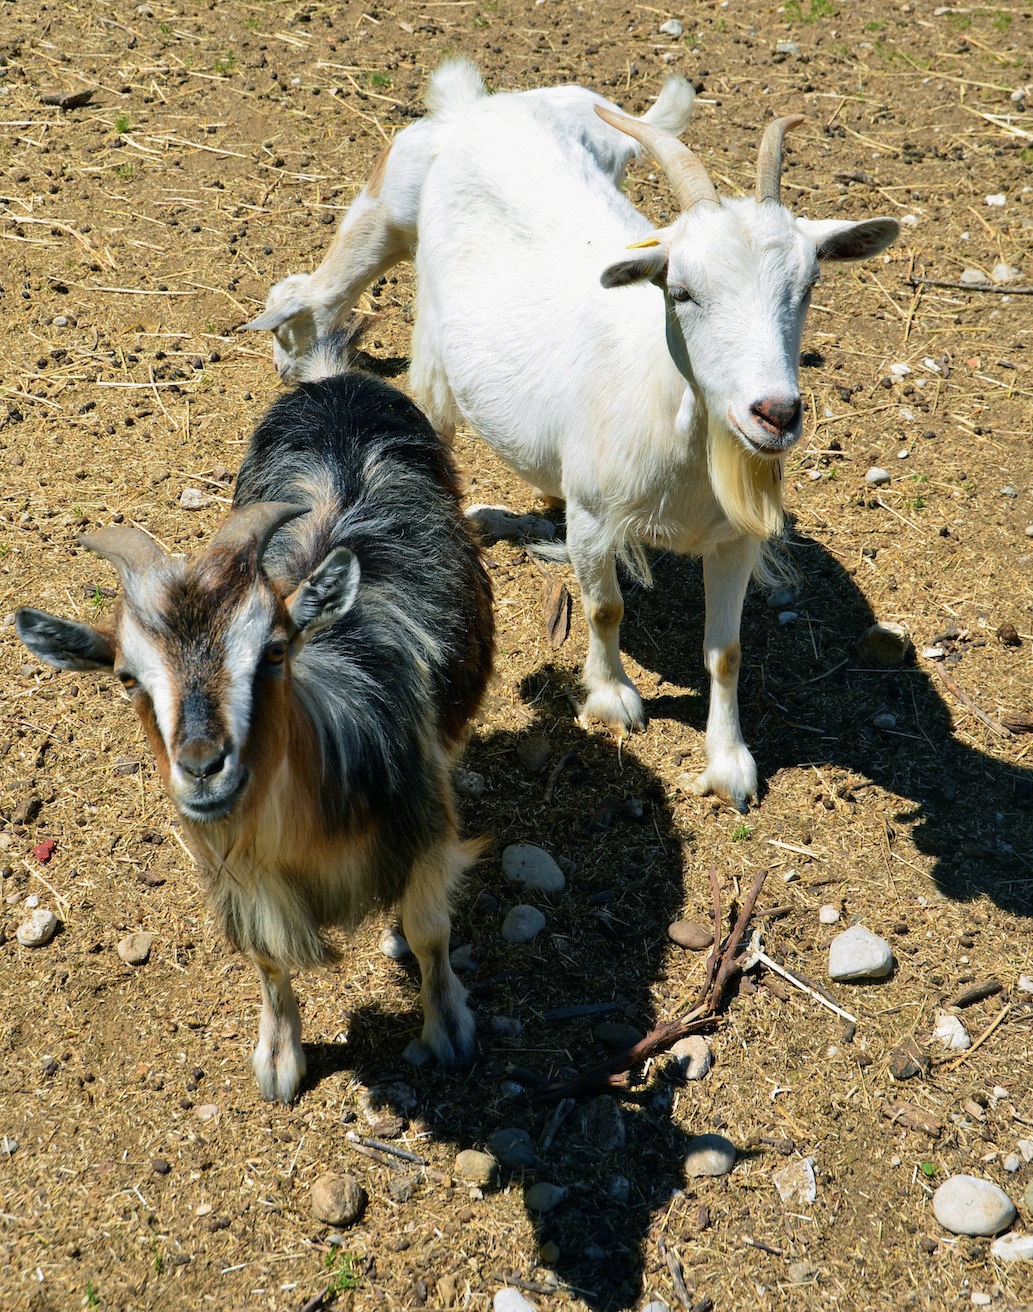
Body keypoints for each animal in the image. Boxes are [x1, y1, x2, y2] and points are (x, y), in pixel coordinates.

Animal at [16, 341, 493, 1107]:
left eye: (273, 651)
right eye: (127, 679)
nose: (203, 767)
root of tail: (331, 377)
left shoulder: (423, 822)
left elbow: (428, 930)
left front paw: (448, 1030)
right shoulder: (244, 879)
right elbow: (269, 960)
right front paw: (279, 1060)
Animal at [248, 66, 897, 813]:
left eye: (810, 282)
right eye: (680, 290)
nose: (774, 413)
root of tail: (477, 105)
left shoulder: (733, 538)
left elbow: (726, 652)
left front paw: (729, 764)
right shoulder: (594, 517)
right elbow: (604, 606)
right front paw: (612, 697)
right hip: (390, 224)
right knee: (320, 292)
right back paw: (301, 354)